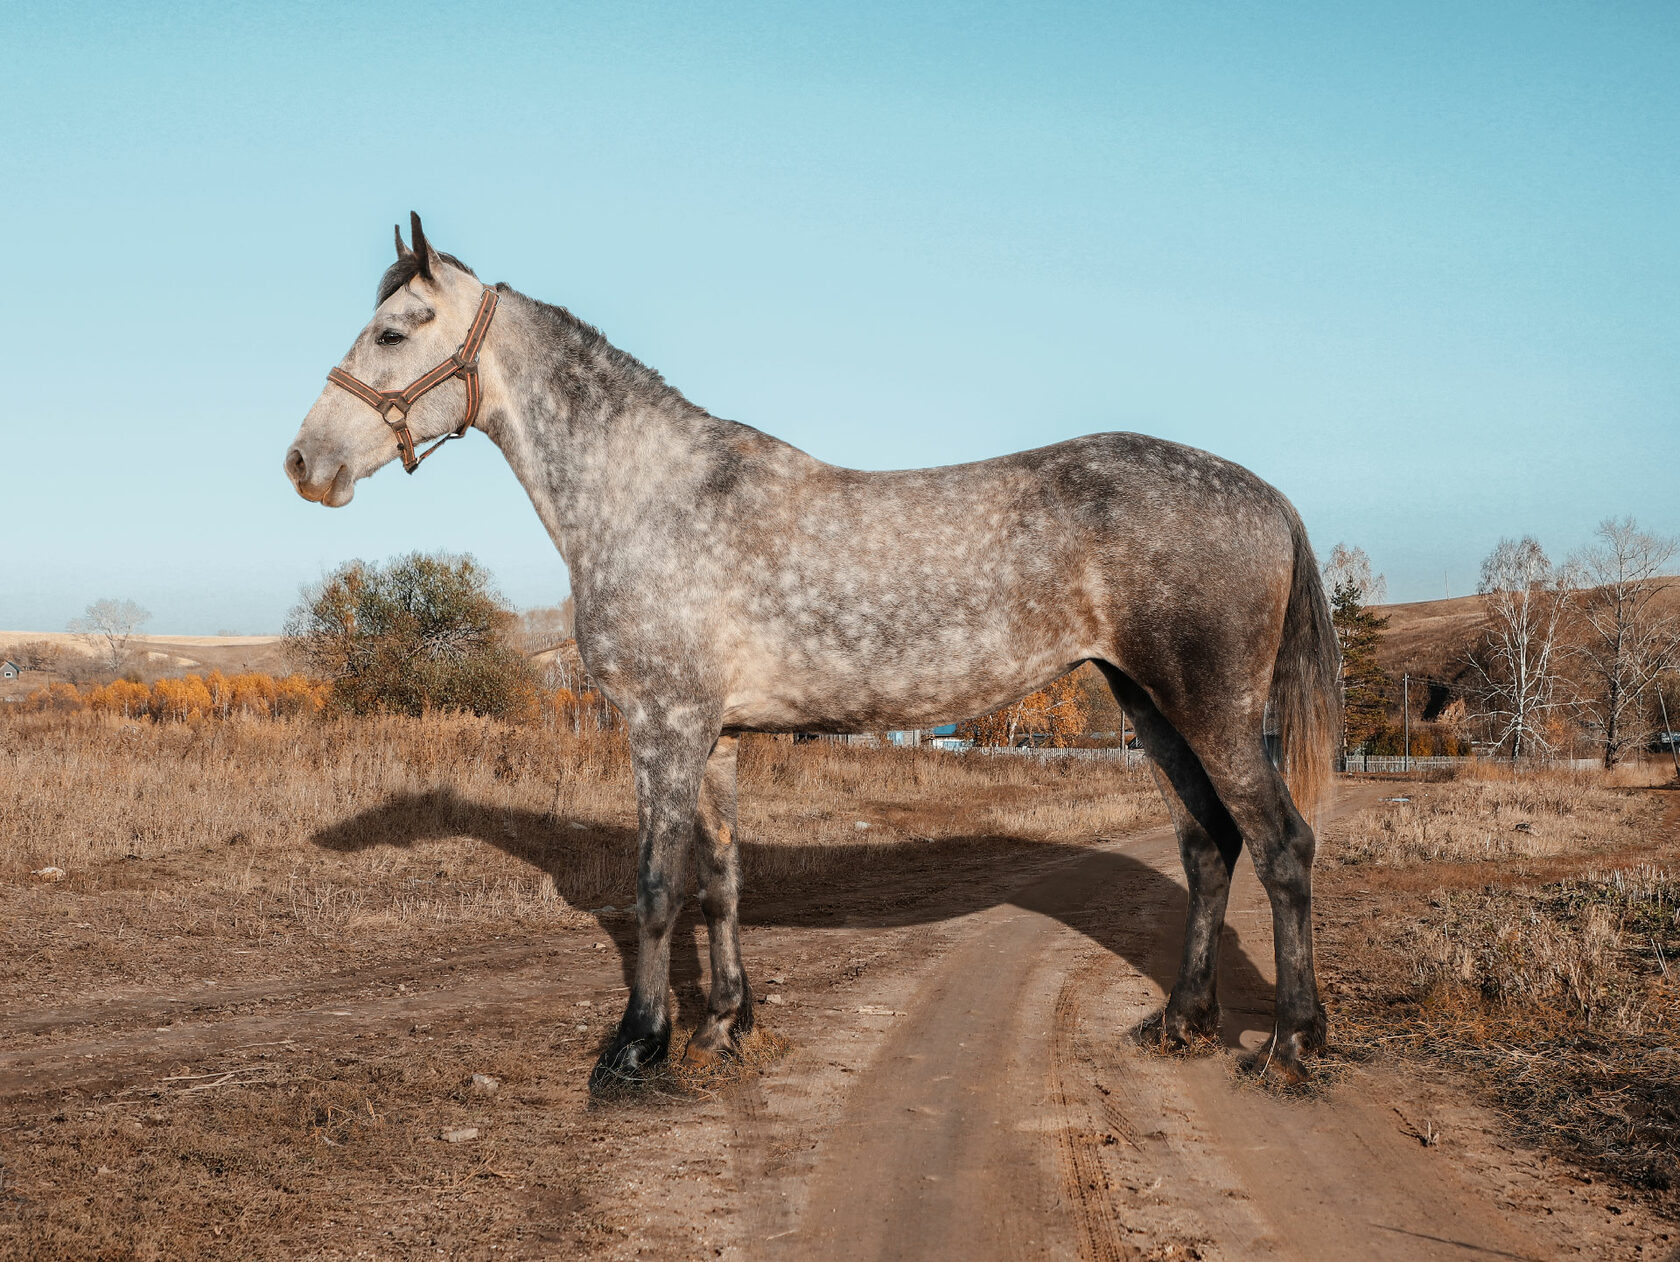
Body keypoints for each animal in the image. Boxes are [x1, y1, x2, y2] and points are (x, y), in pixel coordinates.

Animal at [285, 215, 1337, 1088]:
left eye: (395, 330)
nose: (304, 463)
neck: (650, 496)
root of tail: (1265, 494)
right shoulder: (714, 737)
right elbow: (720, 883)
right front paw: (723, 1029)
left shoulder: (662, 728)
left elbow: (655, 888)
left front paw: (636, 1050)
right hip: (1148, 704)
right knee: (1208, 846)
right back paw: (1182, 1022)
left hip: (1214, 708)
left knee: (1281, 847)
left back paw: (1291, 1045)